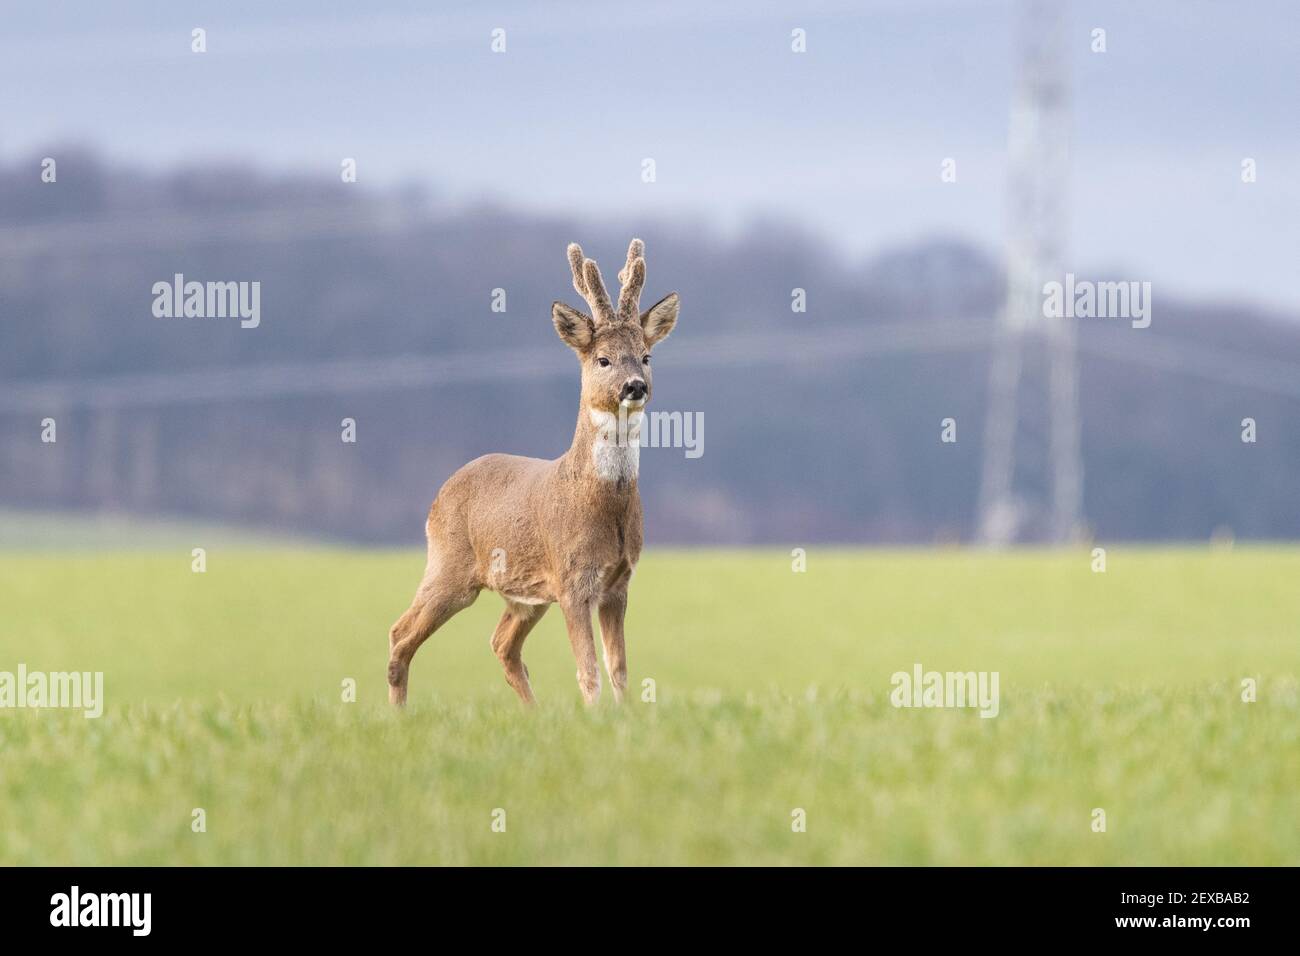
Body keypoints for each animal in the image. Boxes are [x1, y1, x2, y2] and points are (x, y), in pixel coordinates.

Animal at [386, 238, 680, 707]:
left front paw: (624, 716)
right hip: (449, 565)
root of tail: (438, 496)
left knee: (502, 644)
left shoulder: (619, 581)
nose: (635, 385)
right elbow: (588, 671)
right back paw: (399, 715)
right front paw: (596, 716)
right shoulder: (573, 579)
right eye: (602, 359)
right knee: (400, 633)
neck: (601, 506)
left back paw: (533, 714)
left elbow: (618, 669)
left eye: (646, 356)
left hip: (526, 595)